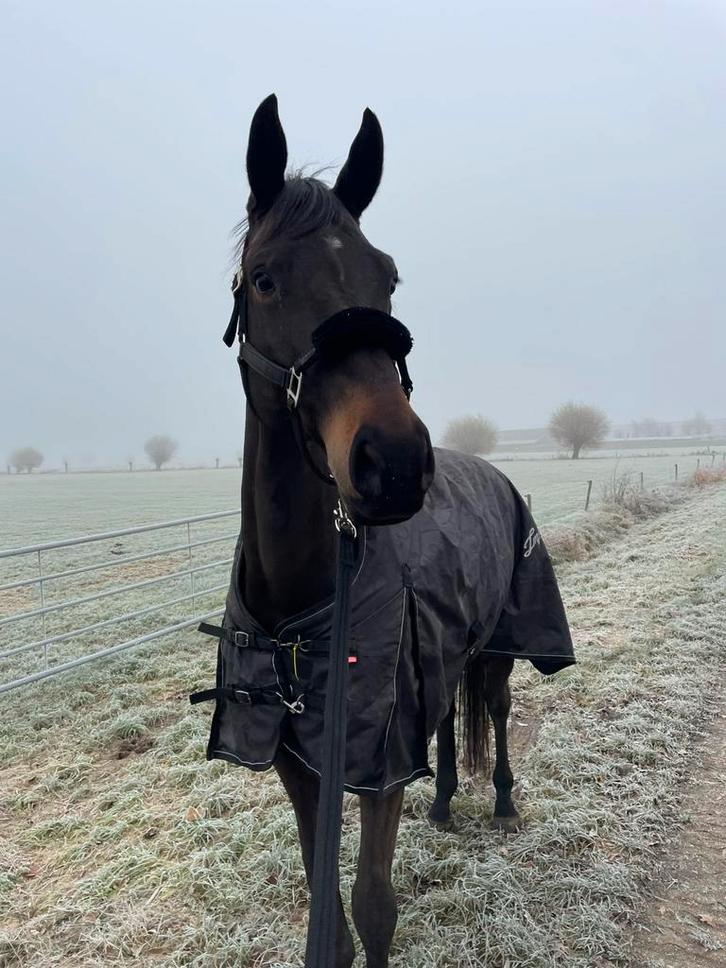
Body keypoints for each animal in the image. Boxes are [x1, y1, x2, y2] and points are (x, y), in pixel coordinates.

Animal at [192, 94, 574, 968]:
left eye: (388, 277)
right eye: (265, 279)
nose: (394, 462)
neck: (302, 602)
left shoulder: (373, 766)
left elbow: (372, 908)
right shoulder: (302, 762)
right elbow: (327, 914)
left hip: (499, 645)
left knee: (493, 711)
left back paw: (501, 801)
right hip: (442, 655)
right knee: (446, 730)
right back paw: (444, 801)